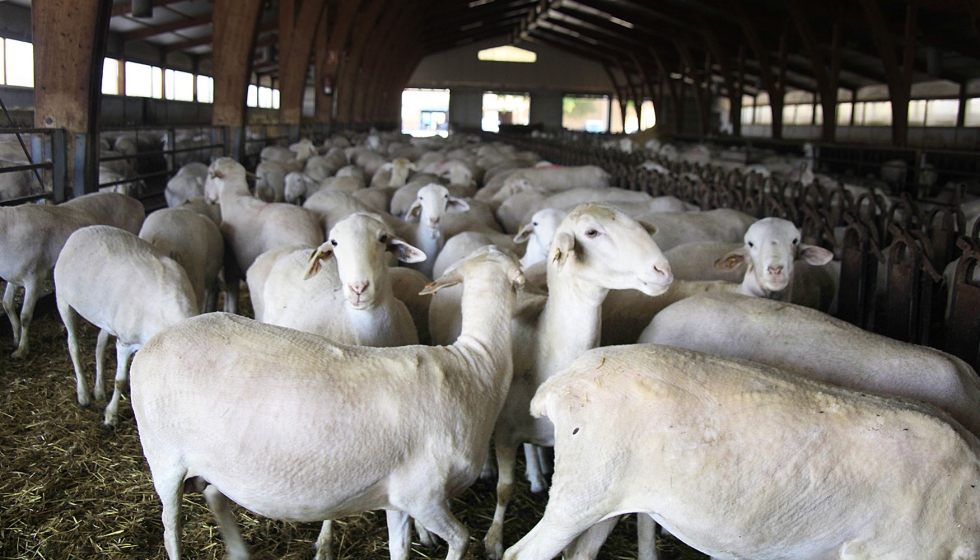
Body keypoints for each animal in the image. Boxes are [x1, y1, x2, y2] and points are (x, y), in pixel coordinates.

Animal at [0, 192, 145, 358]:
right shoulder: (15, 278)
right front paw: (15, 340)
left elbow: (25, 315)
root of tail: (136, 202)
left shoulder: (34, 277)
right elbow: (7, 304)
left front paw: (22, 350)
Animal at [55, 225, 199, 426]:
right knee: (72, 345)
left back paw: (99, 390)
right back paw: (83, 394)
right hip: (62, 298)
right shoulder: (125, 343)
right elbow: (121, 380)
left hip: (106, 315)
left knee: (100, 344)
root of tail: (83, 230)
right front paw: (110, 416)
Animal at [130, 247, 528, 560]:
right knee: (170, 524)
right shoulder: (424, 496)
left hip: (216, 461)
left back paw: (240, 551)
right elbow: (461, 539)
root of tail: (153, 342)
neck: (476, 365)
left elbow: (399, 549)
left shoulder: (398, 499)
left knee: (215, 495)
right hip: (163, 457)